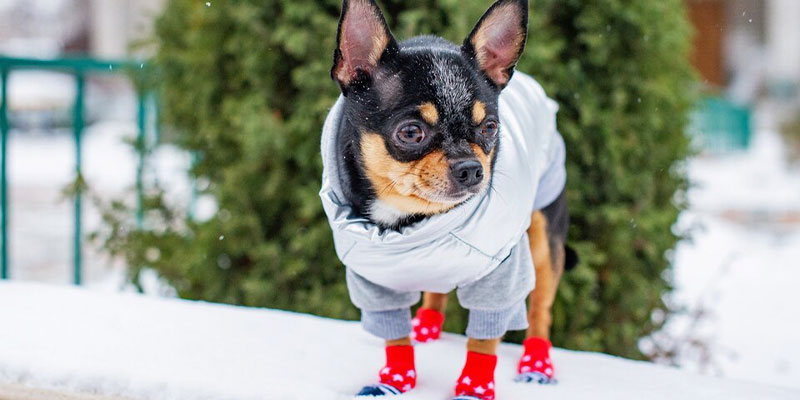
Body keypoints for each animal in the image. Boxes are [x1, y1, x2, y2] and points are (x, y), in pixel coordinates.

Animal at [318, 0, 576, 396]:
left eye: (490, 128)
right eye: (411, 133)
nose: (472, 168)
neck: (413, 222)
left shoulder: (500, 278)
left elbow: (484, 341)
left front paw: (473, 389)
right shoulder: (375, 283)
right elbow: (394, 335)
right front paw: (395, 380)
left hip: (545, 242)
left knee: (540, 310)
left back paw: (537, 364)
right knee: (436, 291)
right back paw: (426, 326)